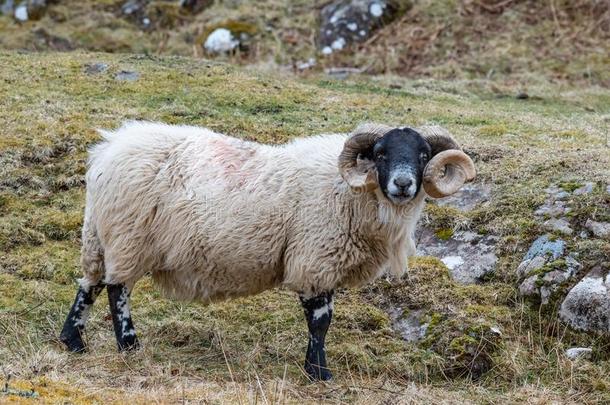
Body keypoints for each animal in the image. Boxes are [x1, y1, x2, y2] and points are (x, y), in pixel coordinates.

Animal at [59, 121, 472, 380]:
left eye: (422, 154)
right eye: (381, 153)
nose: (403, 185)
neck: (354, 193)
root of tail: (108, 149)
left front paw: (314, 368)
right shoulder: (315, 259)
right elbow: (320, 321)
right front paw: (319, 373)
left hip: (99, 235)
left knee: (89, 283)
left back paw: (73, 342)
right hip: (128, 236)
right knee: (117, 289)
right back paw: (129, 346)